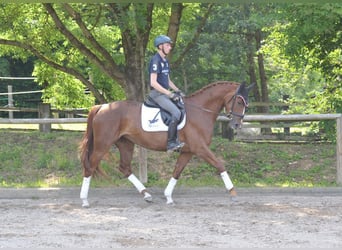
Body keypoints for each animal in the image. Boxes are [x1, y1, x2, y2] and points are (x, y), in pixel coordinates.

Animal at [79, 80, 252, 207]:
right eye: (239, 101)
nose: (237, 125)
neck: (200, 111)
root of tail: (101, 107)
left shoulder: (188, 151)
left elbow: (177, 171)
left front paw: (168, 196)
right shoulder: (200, 148)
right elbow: (219, 165)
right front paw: (233, 193)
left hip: (126, 143)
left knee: (124, 167)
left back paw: (147, 195)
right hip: (103, 144)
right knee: (90, 166)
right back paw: (84, 200)